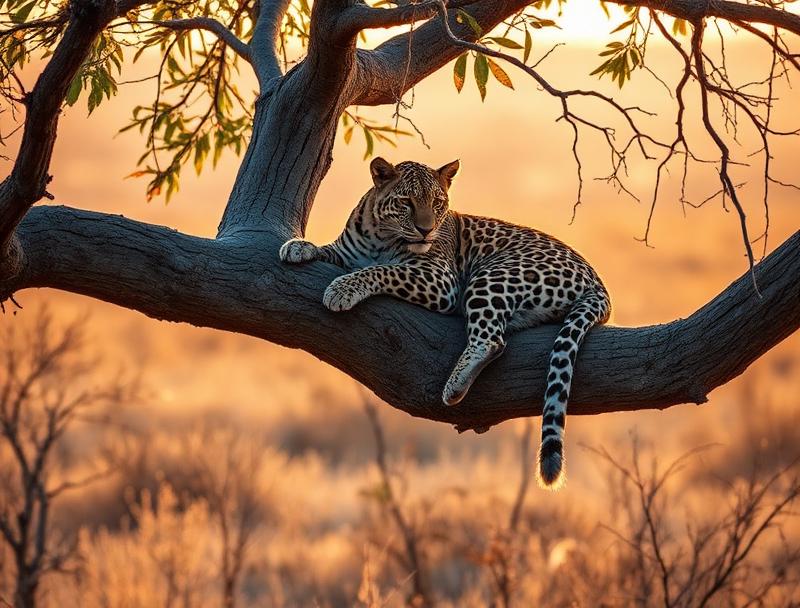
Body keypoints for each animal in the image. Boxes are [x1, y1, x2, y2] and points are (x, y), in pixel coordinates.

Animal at [279, 157, 611, 488]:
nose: (426, 231)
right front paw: (298, 247)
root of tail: (598, 282)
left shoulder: (438, 278)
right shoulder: (348, 253)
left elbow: (382, 270)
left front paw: (343, 289)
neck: (379, 236)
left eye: (437, 203)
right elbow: (330, 250)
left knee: (491, 340)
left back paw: (453, 387)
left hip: (493, 275)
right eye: (406, 202)